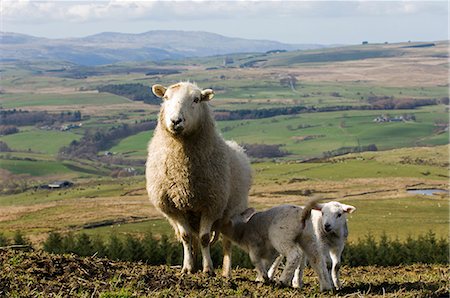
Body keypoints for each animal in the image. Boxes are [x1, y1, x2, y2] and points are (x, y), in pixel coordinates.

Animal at [146, 82, 251, 278]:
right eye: (166, 98)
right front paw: (187, 268)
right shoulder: (174, 208)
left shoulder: (211, 205)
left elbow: (204, 238)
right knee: (193, 237)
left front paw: (208, 269)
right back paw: (194, 264)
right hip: (193, 216)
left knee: (226, 242)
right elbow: (186, 237)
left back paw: (226, 273)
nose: (176, 121)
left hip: (231, 213)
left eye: (196, 100)